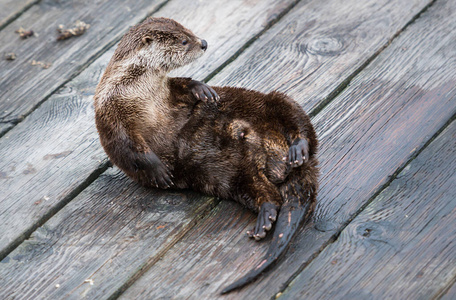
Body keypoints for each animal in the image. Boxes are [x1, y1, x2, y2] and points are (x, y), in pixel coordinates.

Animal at [94, 17, 318, 292]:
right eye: (183, 40)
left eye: (189, 31)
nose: (203, 42)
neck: (138, 90)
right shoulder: (110, 114)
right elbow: (128, 146)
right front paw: (158, 170)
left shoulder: (166, 91)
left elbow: (181, 83)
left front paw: (202, 89)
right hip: (237, 176)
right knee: (268, 195)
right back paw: (265, 218)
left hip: (273, 101)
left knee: (300, 123)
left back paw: (299, 148)